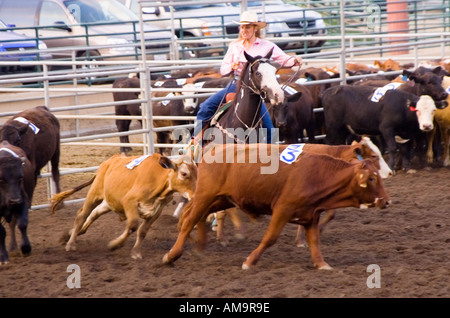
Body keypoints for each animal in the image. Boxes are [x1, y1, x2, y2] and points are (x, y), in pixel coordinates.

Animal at [51, 153, 197, 260]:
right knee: (82, 215)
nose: (194, 195)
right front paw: (115, 244)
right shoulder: (129, 201)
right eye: (184, 173)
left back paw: (71, 233)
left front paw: (136, 252)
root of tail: (108, 162)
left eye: (197, 174)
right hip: (94, 194)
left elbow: (142, 231)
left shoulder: (157, 211)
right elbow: (132, 225)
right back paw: (71, 243)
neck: (159, 180)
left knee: (94, 214)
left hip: (109, 202)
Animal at [163, 143, 390, 270]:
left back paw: (199, 247)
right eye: (371, 178)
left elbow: (315, 241)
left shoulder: (311, 215)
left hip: (221, 198)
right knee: (190, 219)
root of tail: (212, 150)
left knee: (194, 216)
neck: (318, 174)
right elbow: (270, 238)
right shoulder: (283, 209)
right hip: (205, 195)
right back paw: (172, 255)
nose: (386, 201)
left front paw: (322, 264)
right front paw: (249, 262)